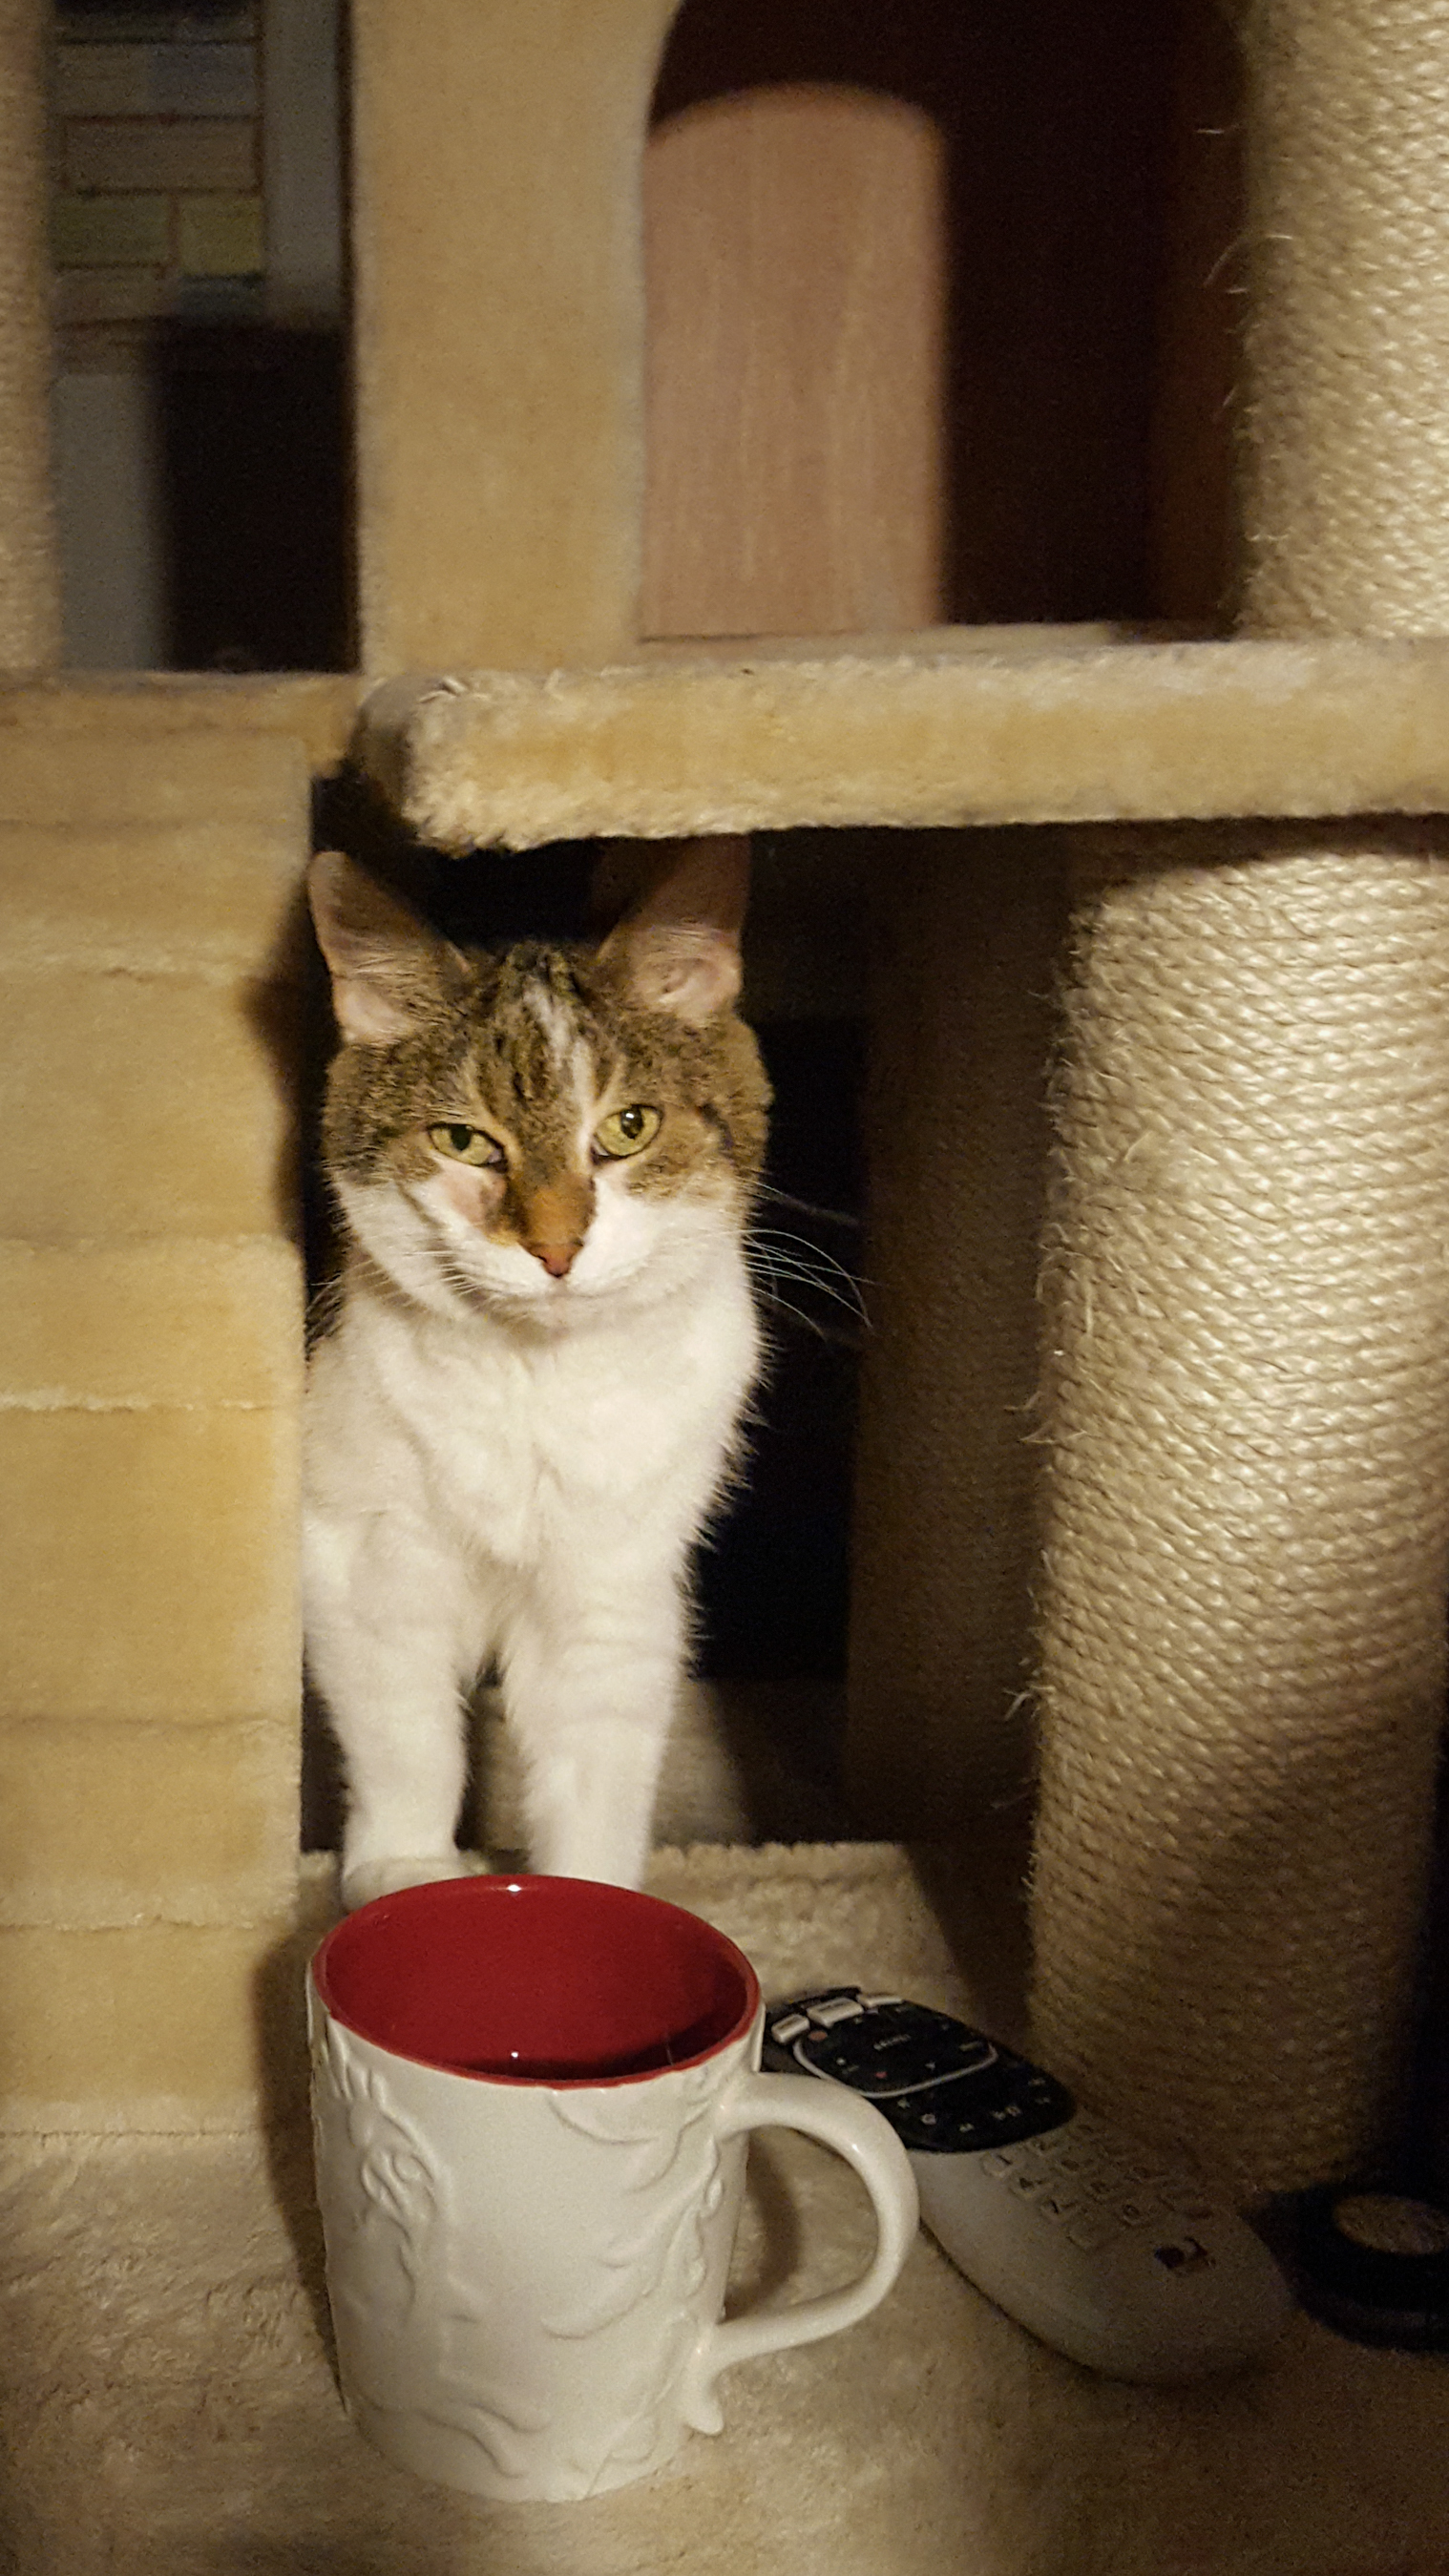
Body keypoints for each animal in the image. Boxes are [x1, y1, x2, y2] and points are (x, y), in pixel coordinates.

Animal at [302, 834, 767, 1906]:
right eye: (464, 1139)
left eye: (630, 1126)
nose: (556, 1249)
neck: (535, 1382)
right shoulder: (368, 1554)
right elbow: (403, 1731)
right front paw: (406, 1865)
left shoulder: (614, 1581)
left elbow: (596, 1762)